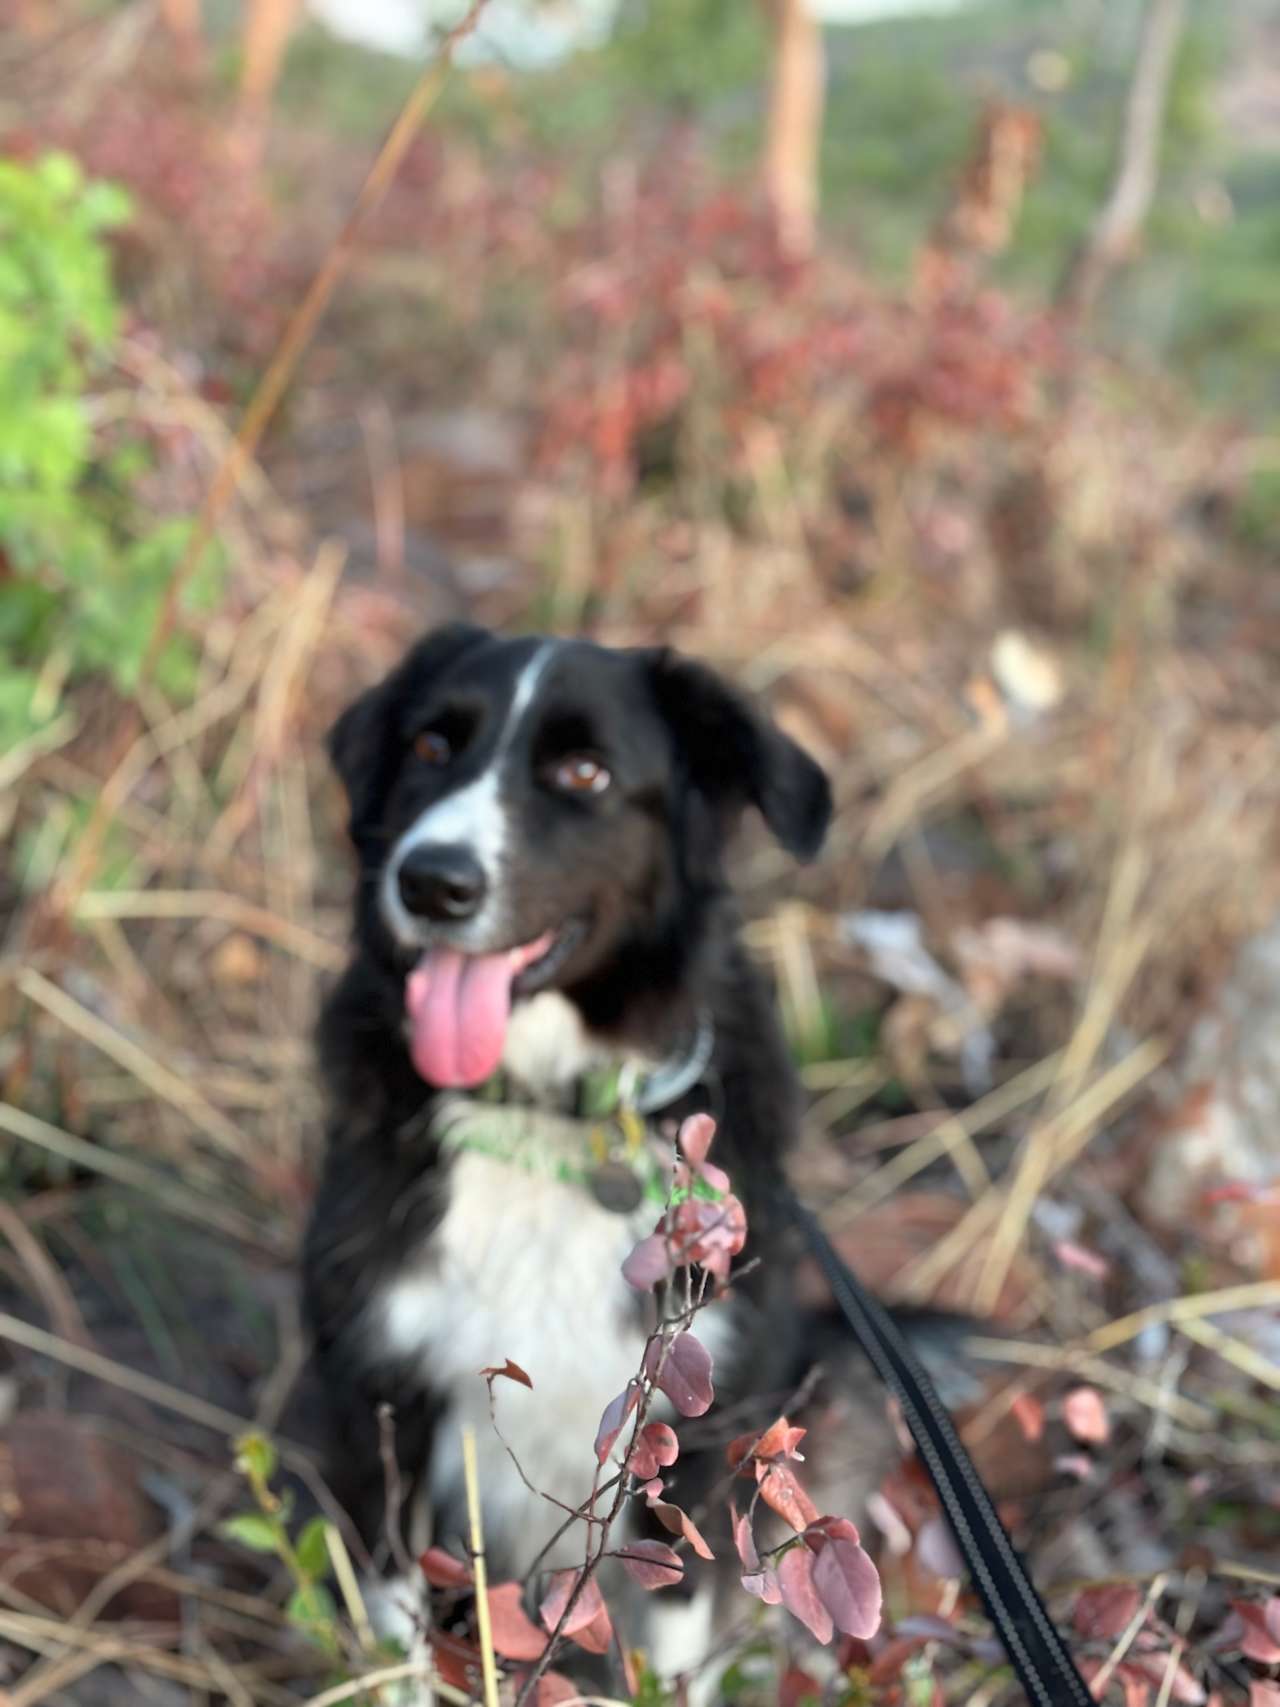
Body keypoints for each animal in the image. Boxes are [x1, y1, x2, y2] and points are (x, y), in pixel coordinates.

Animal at [303, 624, 853, 1679]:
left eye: (584, 772)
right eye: (431, 747)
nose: (430, 881)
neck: (544, 1110)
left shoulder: (697, 1439)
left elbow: (672, 1647)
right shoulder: (379, 1397)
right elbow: (394, 1626)